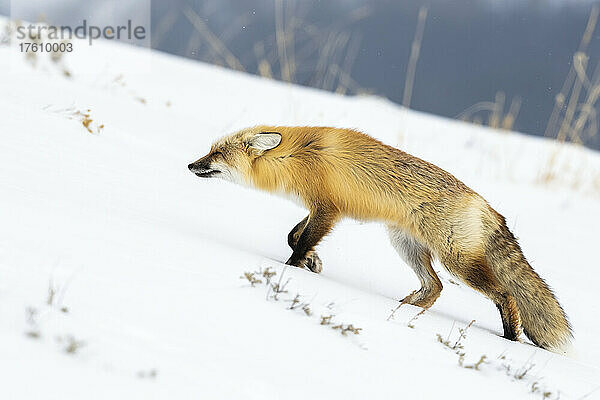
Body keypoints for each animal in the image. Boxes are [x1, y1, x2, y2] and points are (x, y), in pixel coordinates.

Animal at [188, 125, 572, 350]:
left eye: (216, 154)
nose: (191, 165)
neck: (294, 155)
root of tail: (484, 203)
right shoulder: (317, 207)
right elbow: (293, 235)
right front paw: (313, 262)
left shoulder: (328, 209)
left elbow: (301, 241)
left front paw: (294, 268)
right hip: (406, 247)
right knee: (435, 287)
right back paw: (404, 309)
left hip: (457, 261)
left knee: (505, 293)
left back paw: (510, 339)